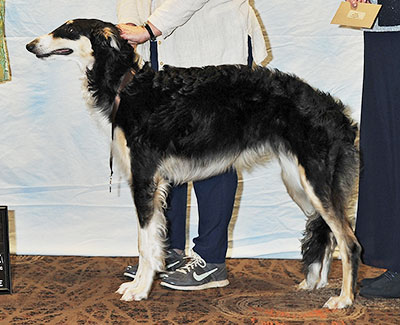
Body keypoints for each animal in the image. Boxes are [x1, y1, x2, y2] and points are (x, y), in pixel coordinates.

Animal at [26, 19, 360, 308]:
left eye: (68, 30)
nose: (30, 45)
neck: (129, 86)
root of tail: (337, 112)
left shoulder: (143, 177)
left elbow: (144, 243)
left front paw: (139, 290)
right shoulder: (159, 183)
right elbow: (154, 240)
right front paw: (143, 281)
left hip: (315, 181)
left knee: (349, 241)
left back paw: (344, 299)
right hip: (297, 181)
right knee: (326, 232)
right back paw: (315, 283)